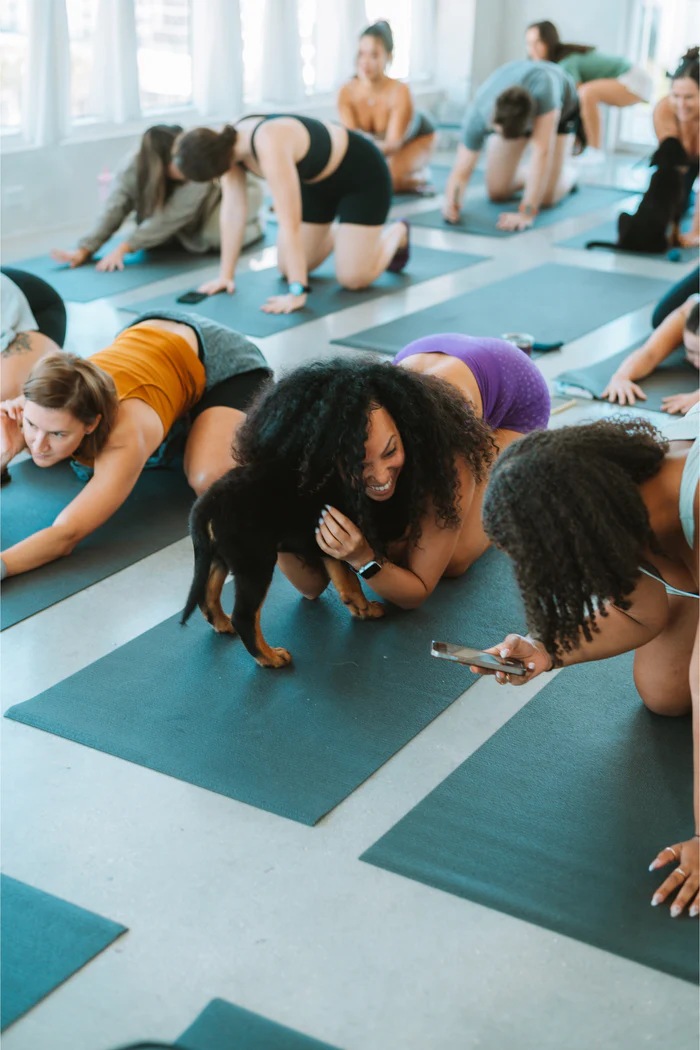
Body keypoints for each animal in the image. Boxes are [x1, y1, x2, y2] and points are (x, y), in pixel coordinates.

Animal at [180, 466, 388, 663]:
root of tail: (206, 507)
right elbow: (353, 582)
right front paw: (368, 609)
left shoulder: (330, 544)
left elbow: (347, 584)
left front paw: (363, 610)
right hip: (257, 562)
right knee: (244, 617)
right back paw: (271, 658)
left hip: (218, 558)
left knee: (207, 596)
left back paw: (223, 624)